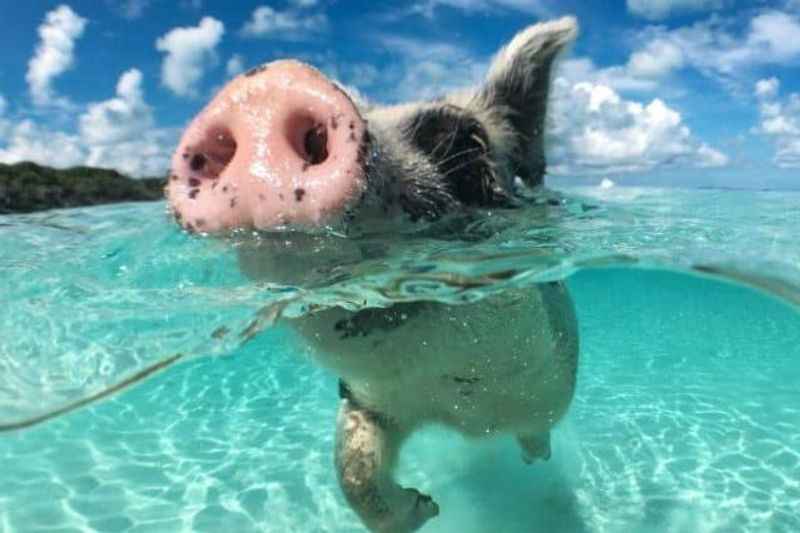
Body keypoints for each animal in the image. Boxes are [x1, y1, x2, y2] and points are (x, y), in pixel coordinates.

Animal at [166, 16, 580, 532]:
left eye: (464, 142)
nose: (264, 88)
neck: (460, 408)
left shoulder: (545, 386)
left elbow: (537, 429)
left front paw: (520, 464)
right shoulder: (367, 399)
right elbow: (351, 464)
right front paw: (427, 507)